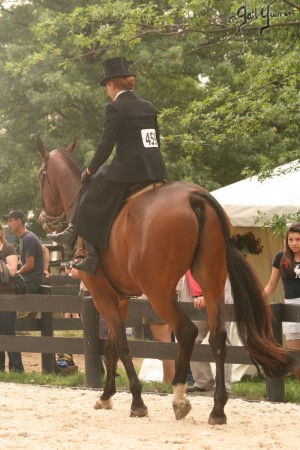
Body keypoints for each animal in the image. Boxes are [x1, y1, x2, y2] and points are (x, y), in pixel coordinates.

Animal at [37, 138, 296, 426]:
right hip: (212, 282)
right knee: (217, 338)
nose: (44, 219)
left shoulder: (102, 296)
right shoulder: (120, 299)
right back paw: (217, 409)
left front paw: (136, 402)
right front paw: (106, 396)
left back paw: (180, 399)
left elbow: (122, 347)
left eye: (40, 177)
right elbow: (113, 347)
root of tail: (194, 197)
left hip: (158, 291)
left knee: (186, 332)